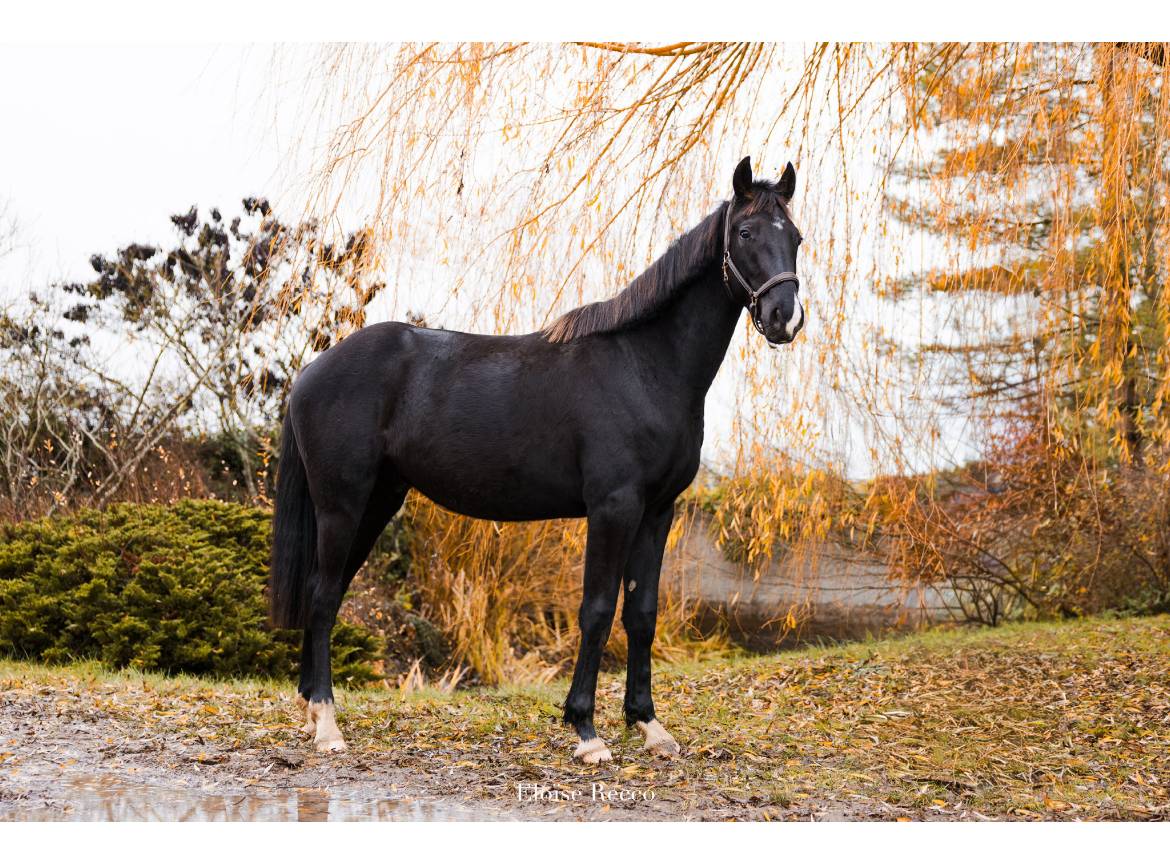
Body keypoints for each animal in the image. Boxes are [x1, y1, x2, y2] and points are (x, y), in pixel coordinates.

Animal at [269, 156, 805, 762]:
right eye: (745, 233)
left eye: (796, 238)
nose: (785, 317)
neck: (645, 366)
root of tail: (311, 372)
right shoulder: (614, 508)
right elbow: (597, 610)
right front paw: (586, 731)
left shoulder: (657, 512)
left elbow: (642, 613)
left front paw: (647, 723)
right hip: (341, 504)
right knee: (321, 595)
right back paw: (327, 725)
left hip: (377, 501)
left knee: (328, 592)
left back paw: (313, 709)